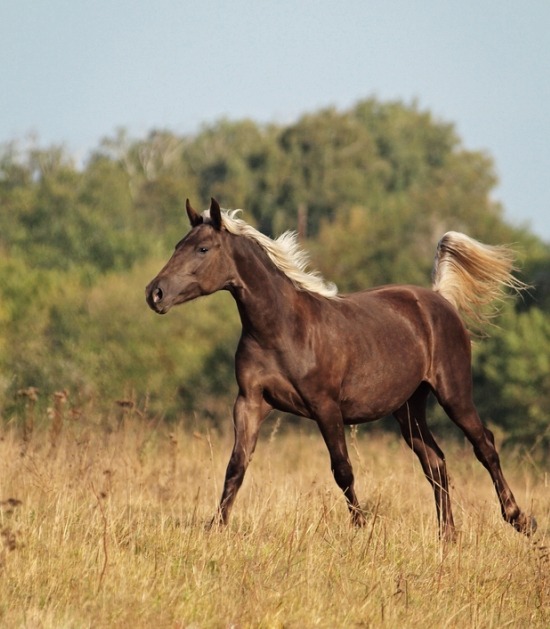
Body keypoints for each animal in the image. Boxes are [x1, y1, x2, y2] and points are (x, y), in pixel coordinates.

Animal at [147, 197, 540, 540]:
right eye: (179, 244)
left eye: (202, 249)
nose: (155, 293)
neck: (283, 329)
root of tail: (440, 299)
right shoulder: (250, 402)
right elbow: (236, 466)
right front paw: (215, 527)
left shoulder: (326, 407)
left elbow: (342, 469)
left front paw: (361, 528)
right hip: (409, 408)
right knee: (436, 462)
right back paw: (448, 536)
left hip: (454, 394)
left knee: (484, 446)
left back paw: (520, 520)